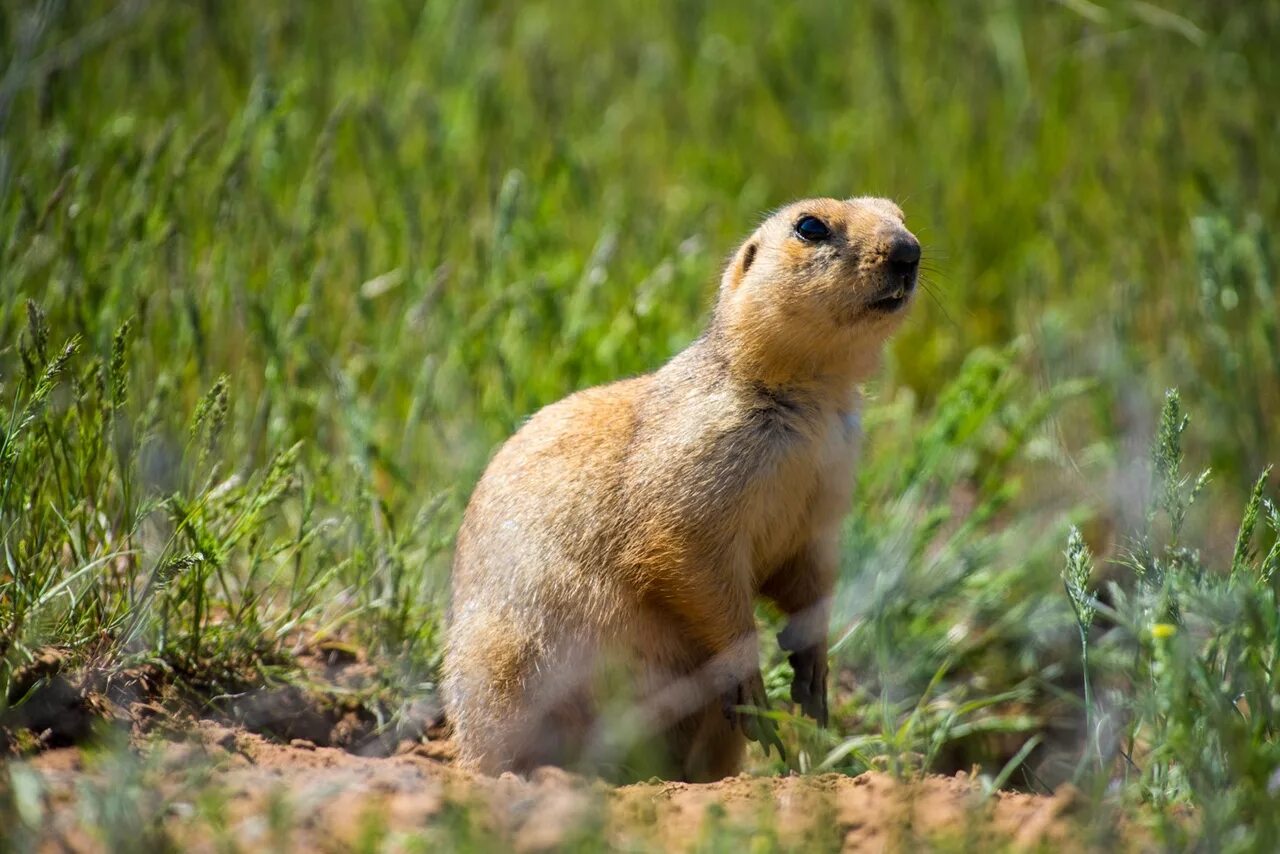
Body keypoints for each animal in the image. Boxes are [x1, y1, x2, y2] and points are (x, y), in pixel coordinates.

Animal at [442, 195, 921, 783]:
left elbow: (809, 571)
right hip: (503, 665)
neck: (815, 400)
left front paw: (814, 678)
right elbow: (686, 555)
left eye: (898, 212)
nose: (909, 251)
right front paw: (752, 682)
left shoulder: (827, 489)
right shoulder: (699, 457)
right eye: (810, 227)